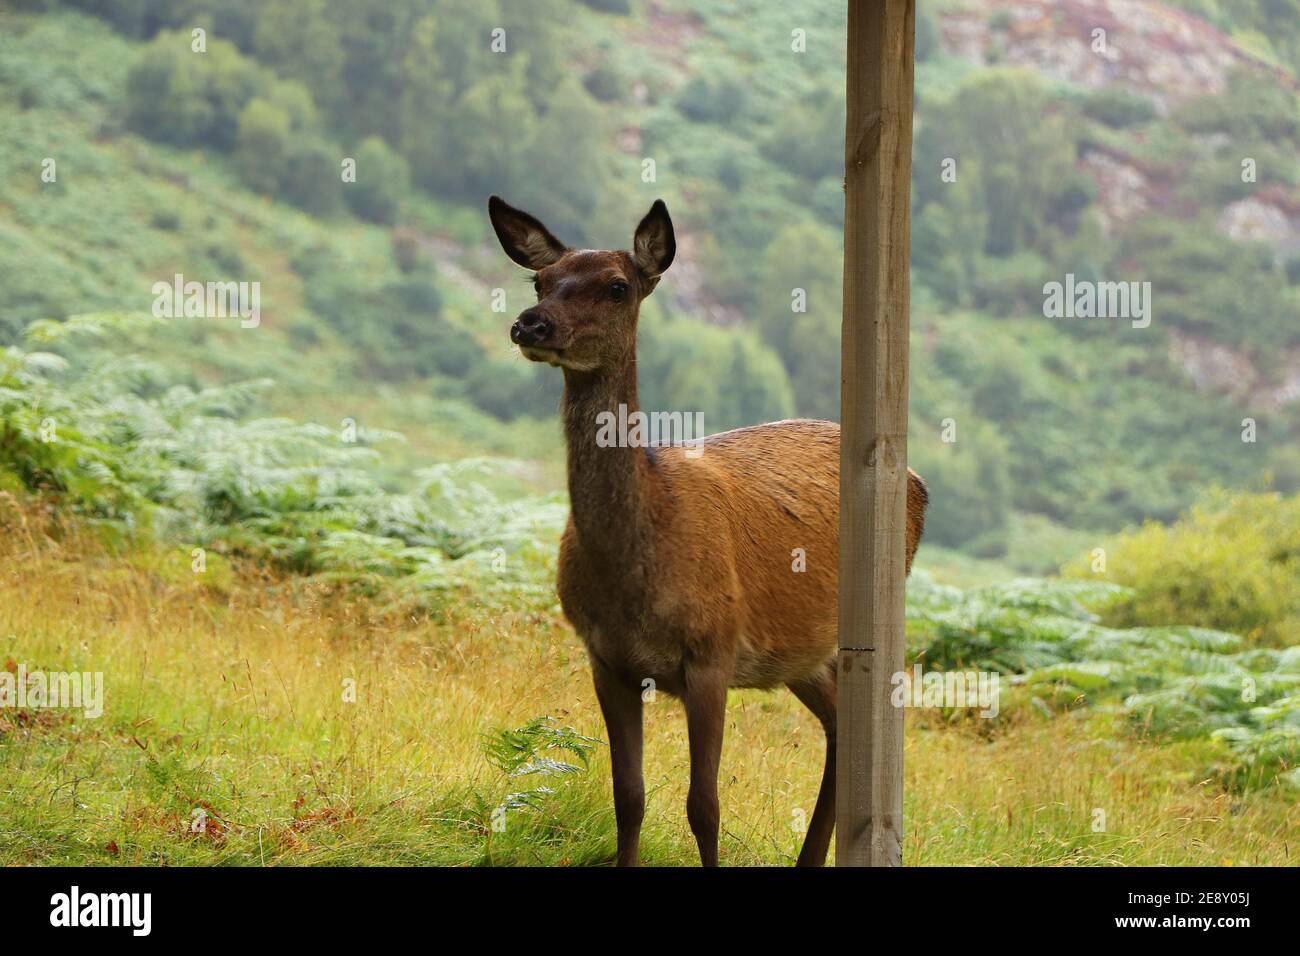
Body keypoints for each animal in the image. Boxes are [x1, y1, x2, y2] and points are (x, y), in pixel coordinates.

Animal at [488, 195, 928, 867]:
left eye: (617, 286)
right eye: (541, 280)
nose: (530, 325)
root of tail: (919, 485)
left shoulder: (713, 652)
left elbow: (705, 806)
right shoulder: (605, 659)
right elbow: (628, 797)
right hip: (800, 655)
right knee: (835, 723)